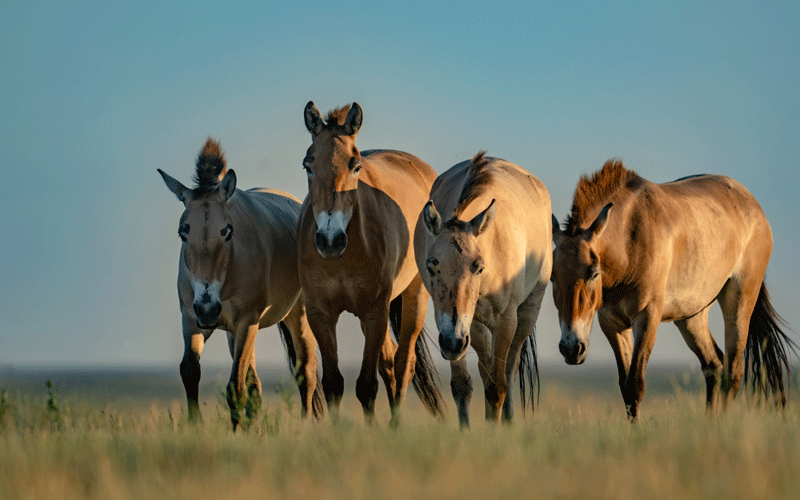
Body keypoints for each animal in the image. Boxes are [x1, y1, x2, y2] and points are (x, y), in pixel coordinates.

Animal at [159, 138, 324, 429]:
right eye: (183, 231)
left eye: (227, 231)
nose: (207, 308)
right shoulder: (192, 320)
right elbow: (190, 372)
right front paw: (196, 427)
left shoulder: (247, 322)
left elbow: (235, 387)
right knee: (256, 385)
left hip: (298, 317)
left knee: (306, 373)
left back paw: (304, 426)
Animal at [298, 101, 444, 424]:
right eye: (308, 165)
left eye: (355, 166)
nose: (330, 241)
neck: (342, 259)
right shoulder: (320, 313)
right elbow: (334, 384)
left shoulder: (375, 311)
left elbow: (366, 385)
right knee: (389, 363)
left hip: (414, 297)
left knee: (403, 364)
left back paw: (395, 425)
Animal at [416, 152, 552, 427]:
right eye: (431, 266)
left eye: (478, 267)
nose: (453, 343)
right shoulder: (462, 324)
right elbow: (463, 385)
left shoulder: (505, 322)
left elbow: (498, 385)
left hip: (527, 312)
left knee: (509, 371)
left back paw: (507, 421)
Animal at [551, 159, 796, 419]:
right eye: (552, 277)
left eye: (594, 273)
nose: (571, 348)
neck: (630, 238)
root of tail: (753, 206)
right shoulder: (612, 324)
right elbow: (626, 388)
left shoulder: (647, 317)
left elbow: (635, 384)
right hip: (692, 316)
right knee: (714, 365)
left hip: (739, 303)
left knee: (733, 372)